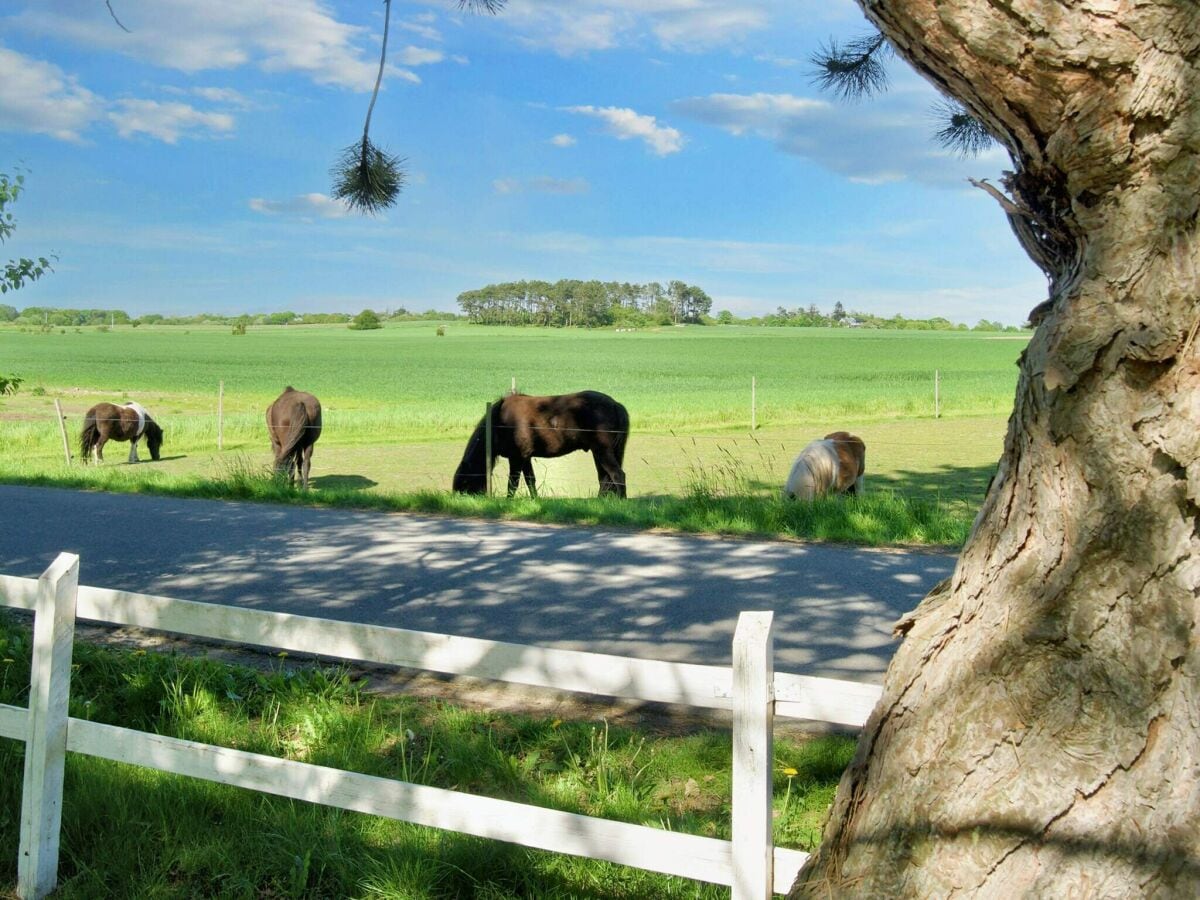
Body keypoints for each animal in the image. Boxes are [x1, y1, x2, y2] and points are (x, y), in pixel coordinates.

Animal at [453, 388, 633, 501]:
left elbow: (513, 482)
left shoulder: (516, 458)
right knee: (604, 479)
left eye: (464, 481)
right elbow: (530, 480)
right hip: (599, 452)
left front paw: (507, 501)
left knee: (617, 475)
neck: (500, 422)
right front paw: (535, 500)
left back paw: (622, 501)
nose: (457, 497)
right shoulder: (525, 457)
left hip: (602, 451)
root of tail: (615, 404)